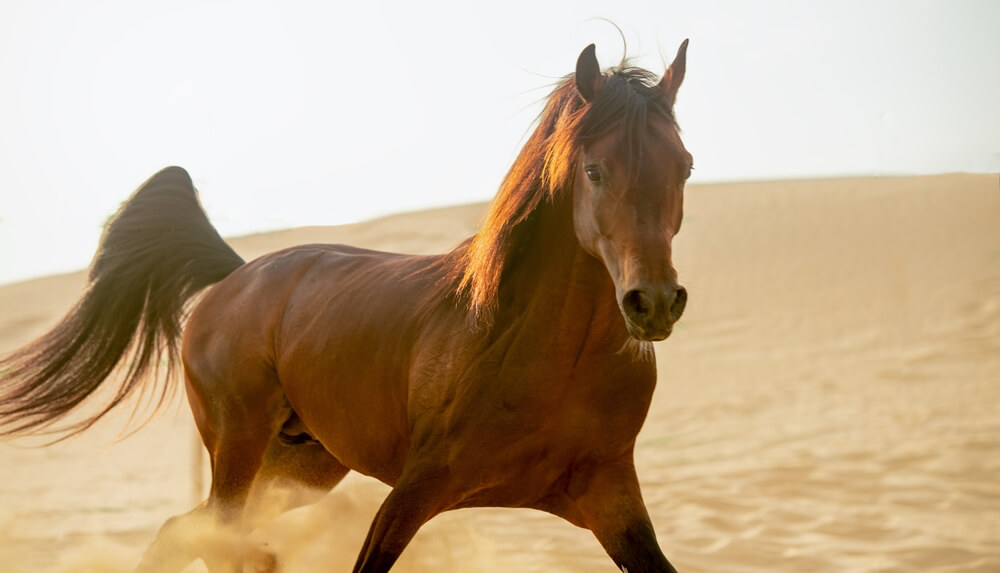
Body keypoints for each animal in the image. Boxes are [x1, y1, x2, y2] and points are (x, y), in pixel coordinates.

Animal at [0, 39, 692, 568]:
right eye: (595, 171)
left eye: (684, 166)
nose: (654, 304)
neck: (549, 357)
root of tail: (238, 274)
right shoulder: (413, 491)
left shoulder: (611, 496)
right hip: (239, 447)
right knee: (210, 537)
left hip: (297, 466)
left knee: (187, 533)